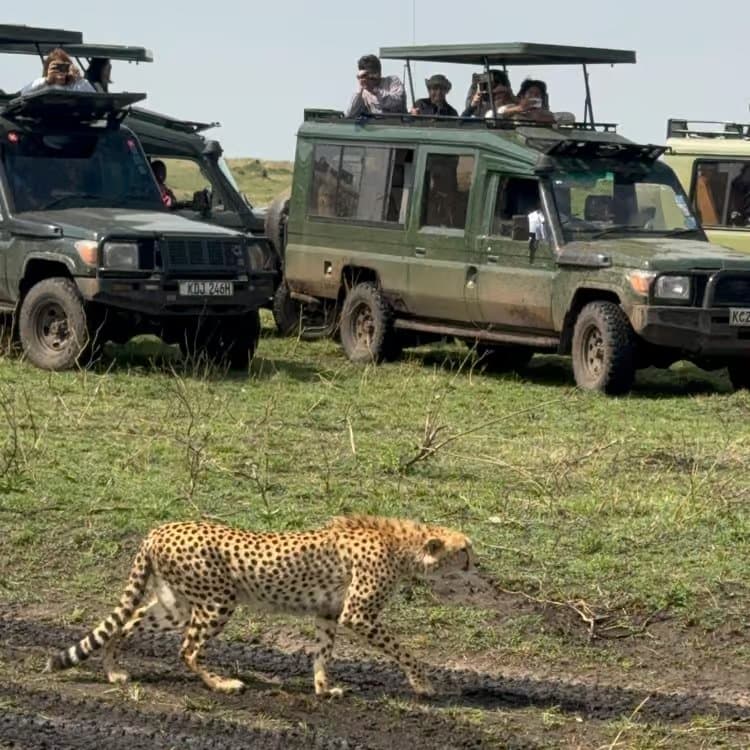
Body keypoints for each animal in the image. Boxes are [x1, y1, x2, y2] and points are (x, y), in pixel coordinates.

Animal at [45, 515, 473, 697]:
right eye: (464, 549)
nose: (475, 561)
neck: (402, 545)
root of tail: (159, 529)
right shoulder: (359, 615)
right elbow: (403, 650)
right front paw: (423, 684)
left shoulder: (328, 613)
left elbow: (322, 652)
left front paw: (323, 688)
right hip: (217, 601)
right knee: (187, 649)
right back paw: (222, 684)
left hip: (176, 605)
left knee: (126, 622)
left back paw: (114, 671)